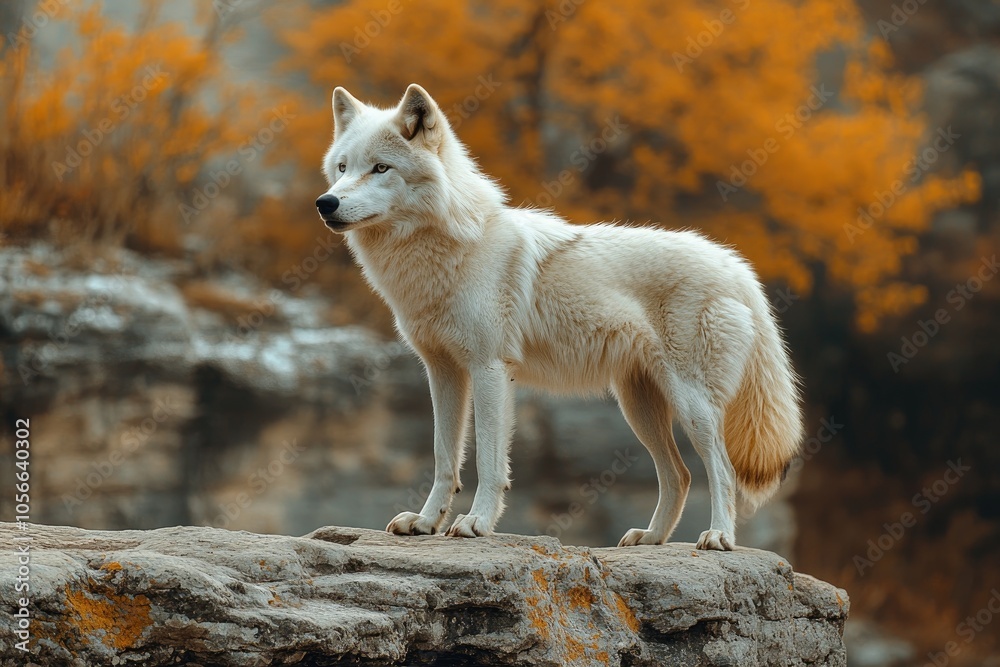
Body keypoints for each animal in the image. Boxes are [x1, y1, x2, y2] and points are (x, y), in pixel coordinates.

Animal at [316, 84, 802, 550]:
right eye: (342, 168)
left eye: (381, 168)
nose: (325, 203)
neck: (448, 250)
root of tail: (737, 266)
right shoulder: (443, 371)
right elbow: (443, 458)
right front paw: (425, 522)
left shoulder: (490, 368)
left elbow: (489, 460)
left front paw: (475, 523)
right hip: (639, 407)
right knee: (679, 475)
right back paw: (651, 538)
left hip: (691, 405)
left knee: (721, 469)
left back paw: (718, 537)